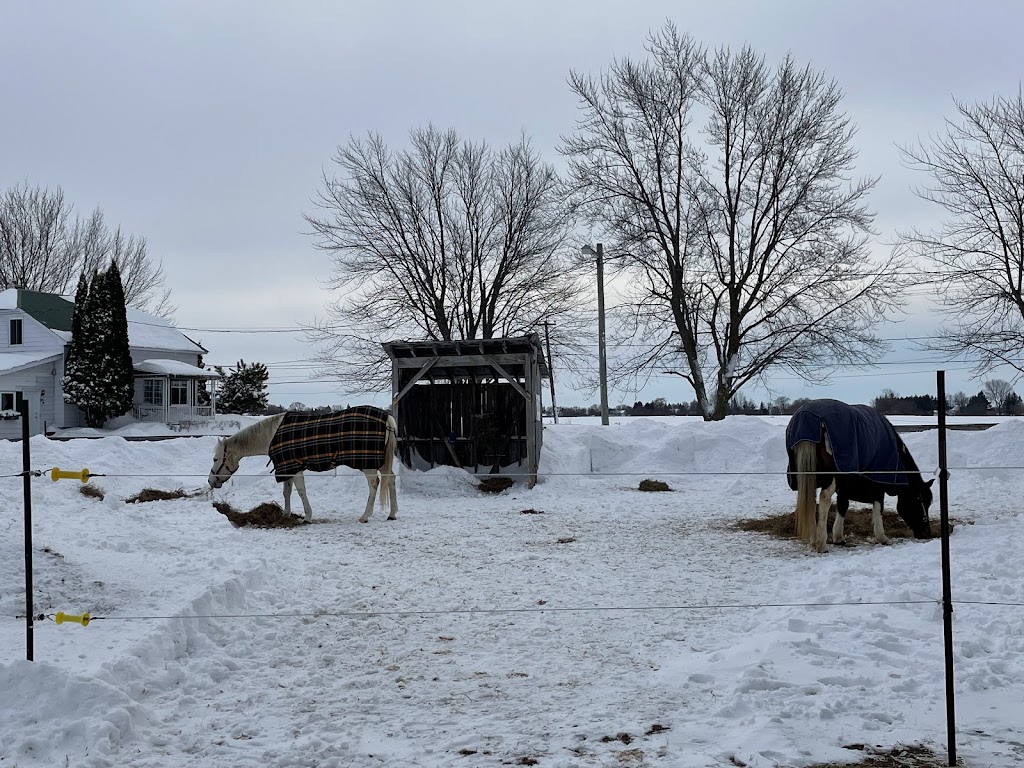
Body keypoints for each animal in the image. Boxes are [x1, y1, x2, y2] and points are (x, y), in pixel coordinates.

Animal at [206, 405, 395, 528]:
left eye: (215, 459)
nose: (211, 481)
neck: (273, 434)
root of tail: (386, 417)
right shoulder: (286, 468)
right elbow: (287, 491)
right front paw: (286, 514)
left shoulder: (294, 468)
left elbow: (301, 491)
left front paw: (307, 517)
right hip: (382, 462)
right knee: (391, 479)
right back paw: (392, 514)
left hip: (368, 464)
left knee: (374, 484)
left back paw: (365, 516)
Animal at [782, 403, 937, 552]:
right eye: (918, 500)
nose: (926, 533)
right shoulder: (876, 481)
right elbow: (878, 506)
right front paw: (881, 537)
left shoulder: (846, 484)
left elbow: (843, 505)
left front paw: (838, 537)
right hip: (831, 478)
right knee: (824, 499)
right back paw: (821, 545)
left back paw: (814, 541)